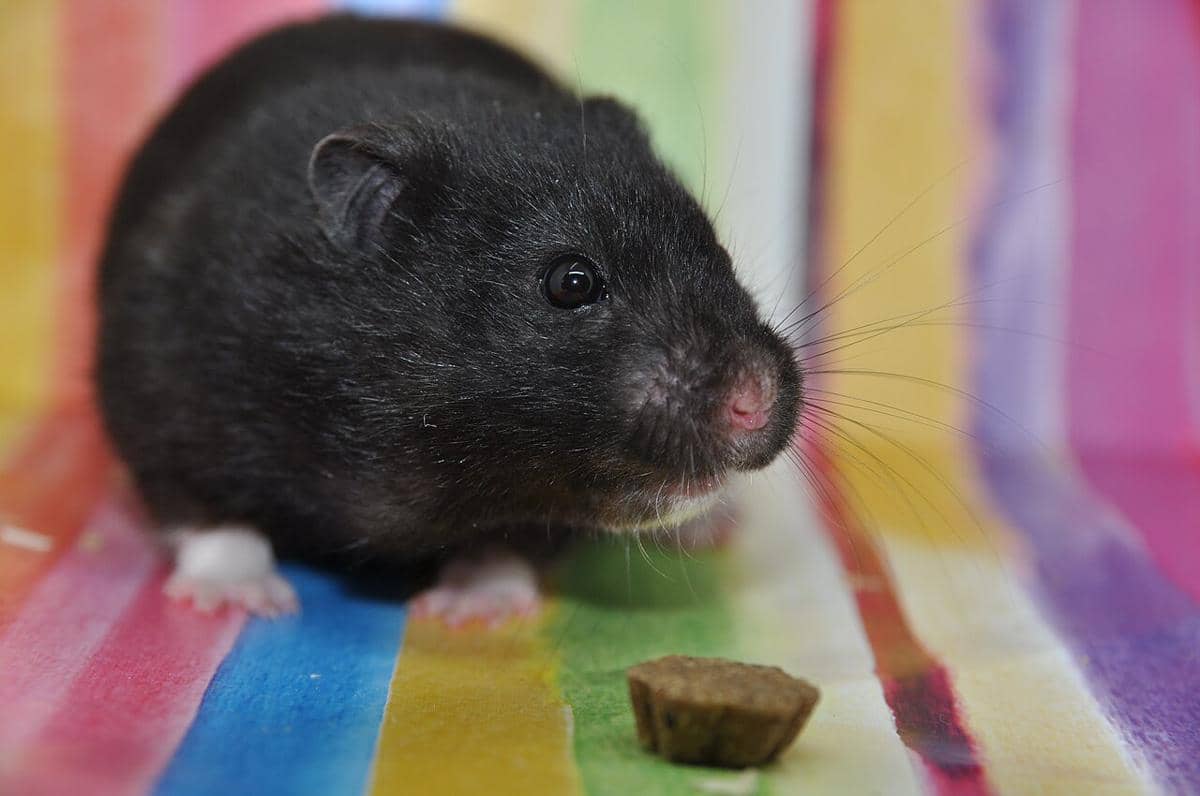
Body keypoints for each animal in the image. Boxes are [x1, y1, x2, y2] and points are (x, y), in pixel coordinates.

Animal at [96, 16, 802, 618]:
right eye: (570, 283)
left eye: (717, 248)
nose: (755, 402)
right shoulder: (160, 392)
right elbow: (207, 517)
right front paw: (243, 601)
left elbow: (507, 543)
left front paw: (472, 610)